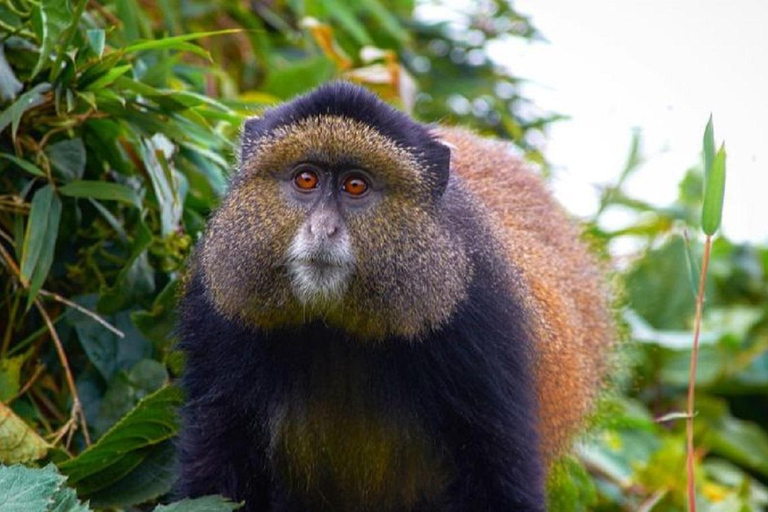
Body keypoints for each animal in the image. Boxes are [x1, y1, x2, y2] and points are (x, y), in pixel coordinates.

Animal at [175, 82, 614, 511]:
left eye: (355, 185)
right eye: (306, 180)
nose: (323, 229)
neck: (335, 329)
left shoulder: (481, 321)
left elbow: (499, 478)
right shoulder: (218, 312)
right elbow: (215, 459)